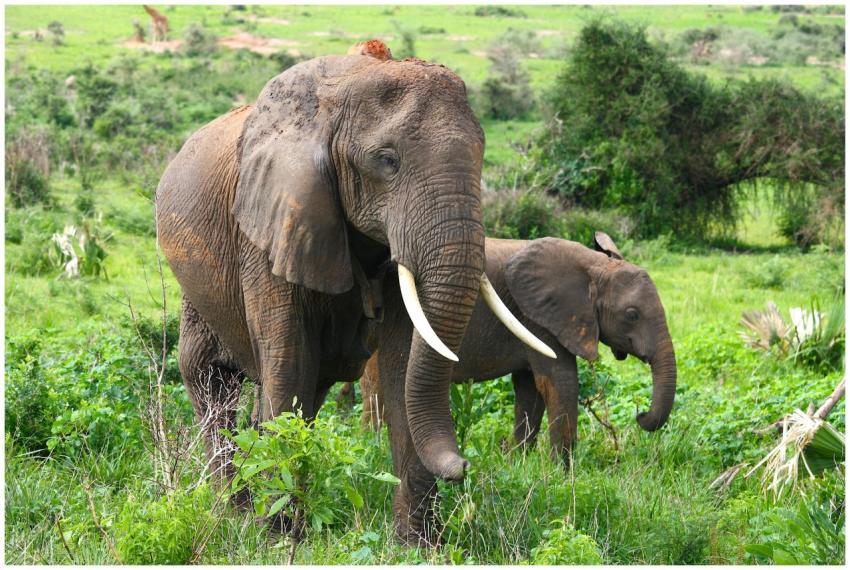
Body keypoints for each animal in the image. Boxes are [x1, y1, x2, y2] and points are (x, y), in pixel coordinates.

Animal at [154, 49, 553, 544]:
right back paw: (236, 512)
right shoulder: (269, 225)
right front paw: (279, 535)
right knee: (212, 377)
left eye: (481, 156)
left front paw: (417, 544)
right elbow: (289, 361)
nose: (464, 465)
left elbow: (402, 366)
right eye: (387, 161)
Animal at [354, 233, 677, 467]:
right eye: (632, 315)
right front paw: (562, 472)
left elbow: (530, 390)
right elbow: (560, 383)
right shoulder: (539, 318)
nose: (641, 416)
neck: (596, 266)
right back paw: (372, 445)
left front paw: (517, 462)